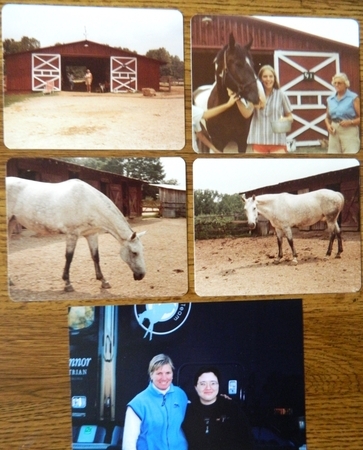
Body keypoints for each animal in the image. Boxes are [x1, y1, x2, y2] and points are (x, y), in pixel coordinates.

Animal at [6, 178, 146, 294]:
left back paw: (9, 280)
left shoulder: (91, 234)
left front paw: (103, 281)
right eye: (134, 253)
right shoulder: (72, 234)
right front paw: (68, 284)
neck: (88, 202)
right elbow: (69, 257)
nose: (141, 275)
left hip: (11, 222)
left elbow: (96, 257)